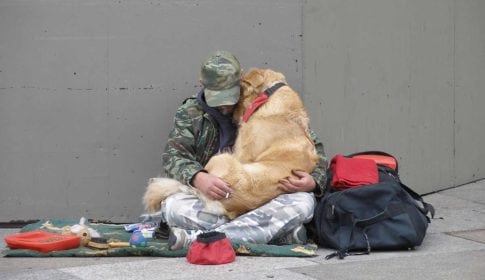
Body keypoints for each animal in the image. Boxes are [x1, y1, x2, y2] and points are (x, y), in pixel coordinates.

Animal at [142, 69, 320, 220]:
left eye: (239, 97)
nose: (233, 119)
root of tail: (225, 207)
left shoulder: (242, 152)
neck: (269, 97)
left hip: (222, 158)